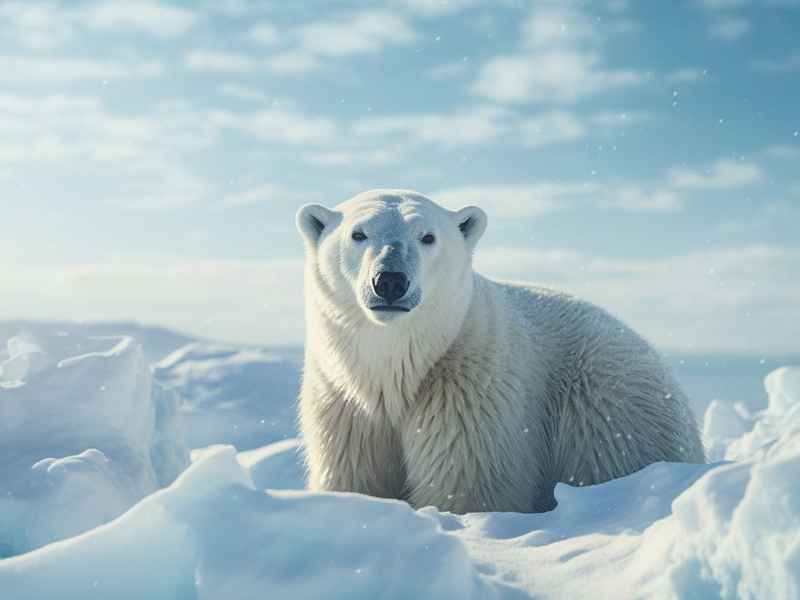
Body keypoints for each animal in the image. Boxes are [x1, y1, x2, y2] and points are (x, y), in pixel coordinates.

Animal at [295, 189, 704, 514]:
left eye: (427, 236)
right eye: (358, 233)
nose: (391, 281)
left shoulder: (470, 399)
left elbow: (467, 487)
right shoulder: (346, 404)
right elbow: (355, 475)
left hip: (611, 411)